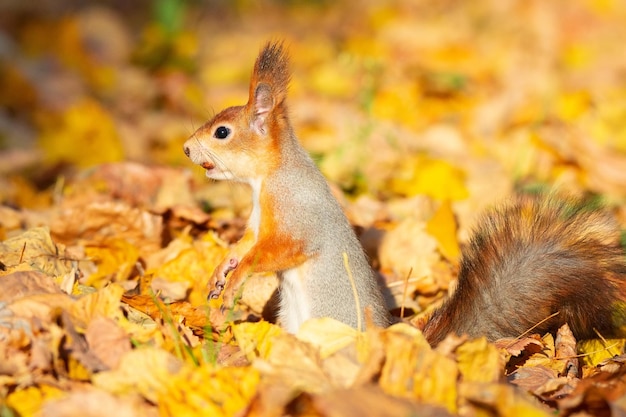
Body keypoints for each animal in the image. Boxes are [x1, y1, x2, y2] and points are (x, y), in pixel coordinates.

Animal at [184, 39, 624, 342]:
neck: (266, 180)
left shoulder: (297, 215)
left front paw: (237, 278)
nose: (187, 148)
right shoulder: (258, 222)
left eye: (222, 133)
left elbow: (277, 251)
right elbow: (246, 243)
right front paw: (222, 268)